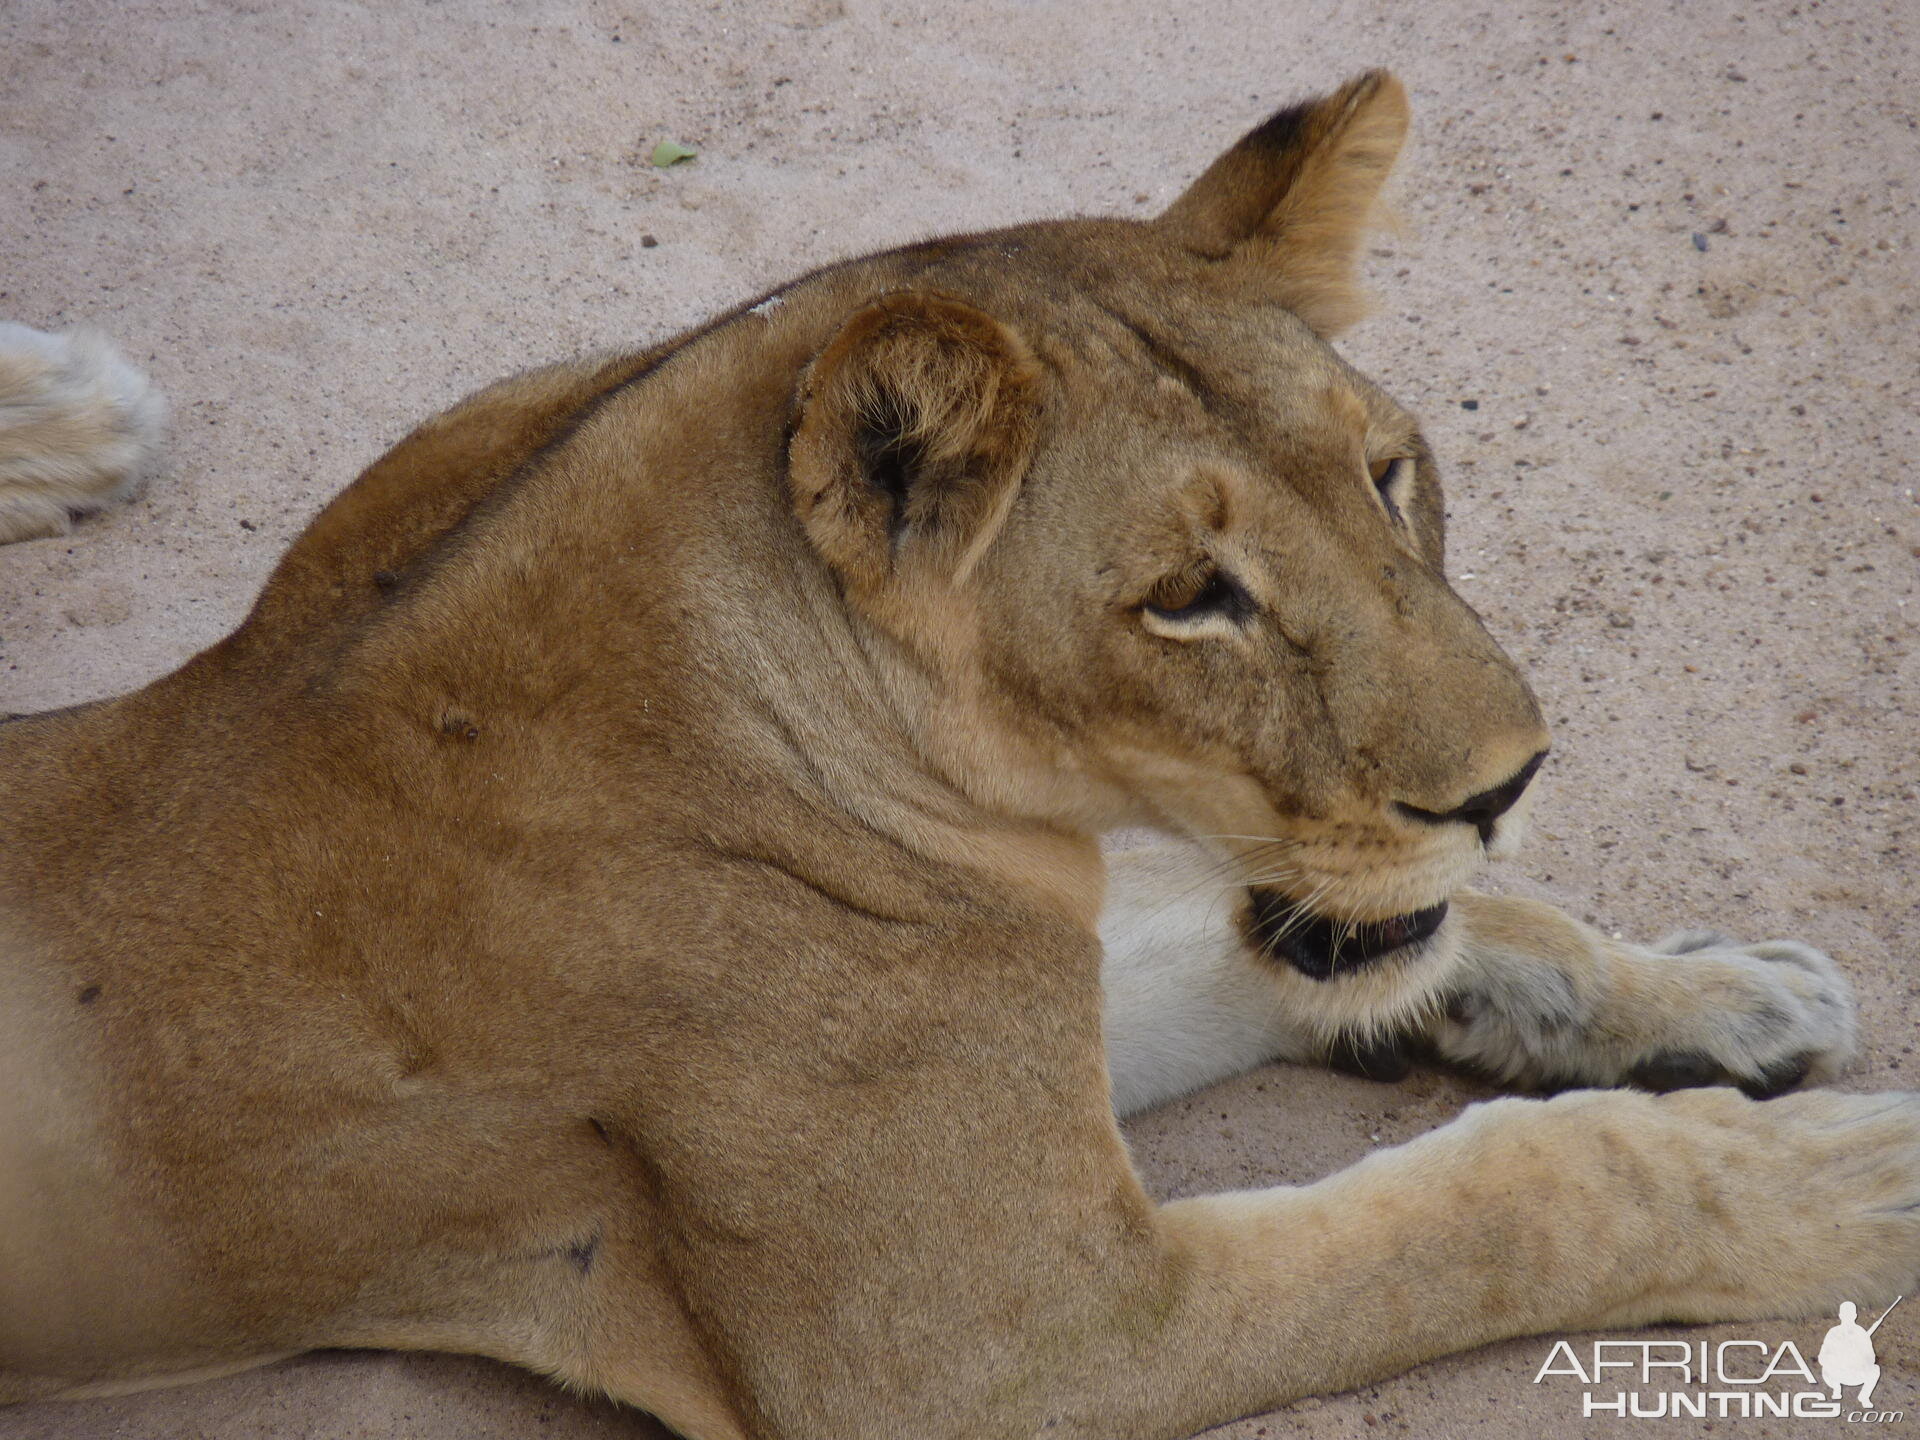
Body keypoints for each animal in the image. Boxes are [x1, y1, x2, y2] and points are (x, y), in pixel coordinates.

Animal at [0, 70, 1912, 1440]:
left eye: (1389, 474)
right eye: (1190, 599)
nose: (1509, 787)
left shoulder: (1034, 993)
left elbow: (1222, 941)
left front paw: (1712, 989)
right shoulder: (997, 1351)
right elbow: (1522, 1194)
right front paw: (1845, 1177)